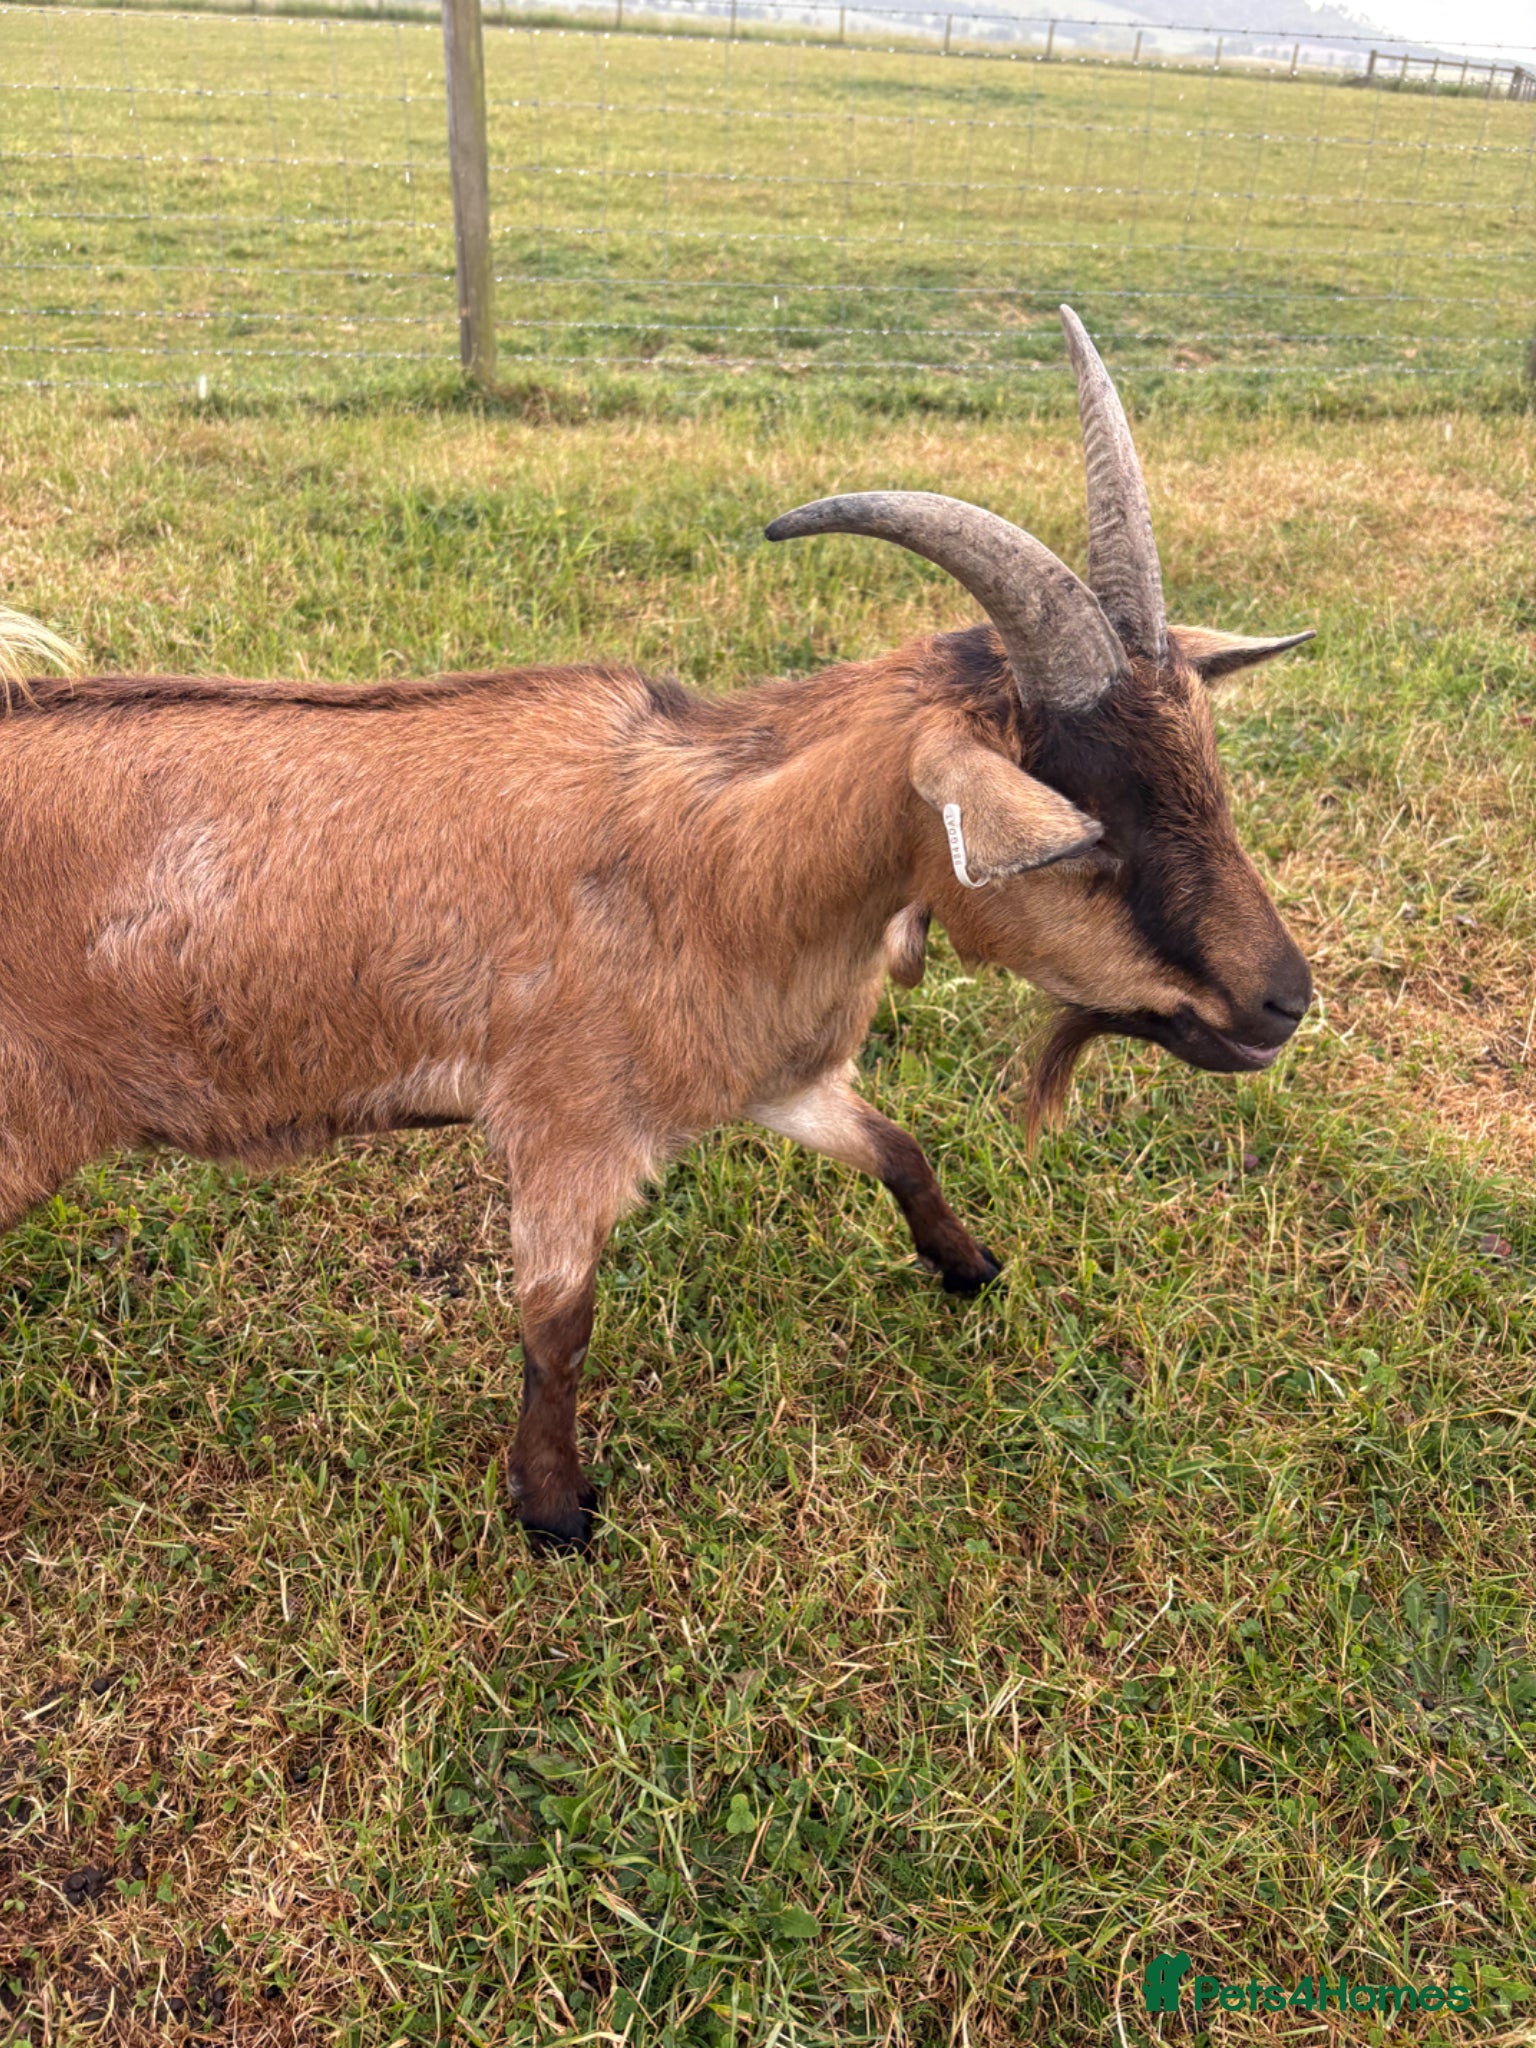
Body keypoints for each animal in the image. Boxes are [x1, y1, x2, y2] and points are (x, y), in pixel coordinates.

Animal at [0, 310, 1312, 1550]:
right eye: (1088, 838)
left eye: (1207, 777)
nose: (1285, 998)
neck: (712, 870)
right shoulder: (564, 1125)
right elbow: (557, 1324)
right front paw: (553, 1513)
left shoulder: (763, 1071)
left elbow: (897, 1147)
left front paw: (971, 1267)